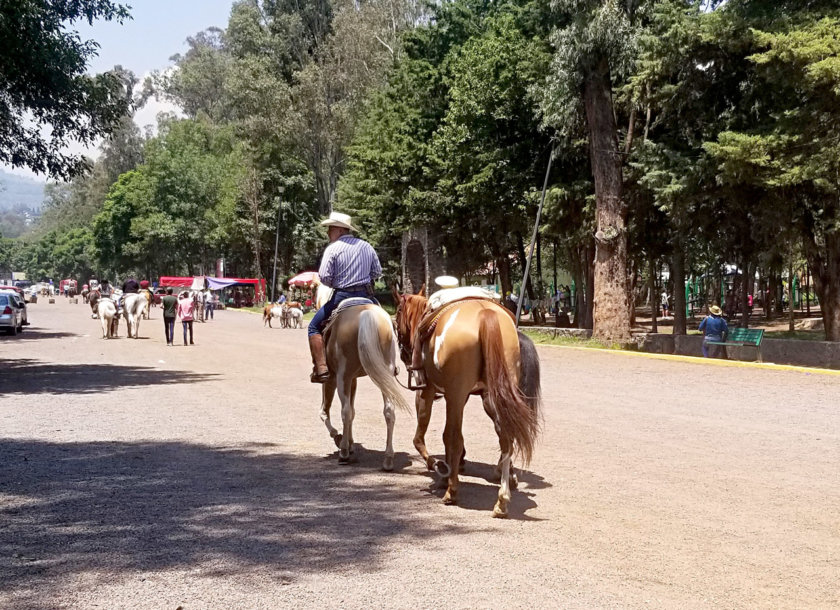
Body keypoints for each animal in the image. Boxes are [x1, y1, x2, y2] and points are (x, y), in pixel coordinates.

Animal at [318, 296, 410, 468]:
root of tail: (366, 314)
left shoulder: (333, 378)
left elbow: (325, 411)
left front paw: (339, 438)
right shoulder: (353, 379)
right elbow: (353, 413)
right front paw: (350, 442)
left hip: (343, 376)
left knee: (345, 411)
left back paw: (344, 453)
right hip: (385, 374)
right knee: (389, 411)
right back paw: (388, 459)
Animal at [396, 288, 540, 516]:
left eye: (397, 315)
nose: (404, 354)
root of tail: (486, 315)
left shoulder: (429, 392)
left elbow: (421, 437)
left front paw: (440, 468)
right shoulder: (460, 397)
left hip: (458, 394)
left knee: (454, 436)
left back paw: (452, 491)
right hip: (495, 394)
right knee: (506, 438)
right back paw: (502, 498)